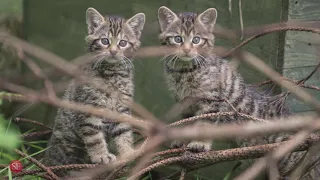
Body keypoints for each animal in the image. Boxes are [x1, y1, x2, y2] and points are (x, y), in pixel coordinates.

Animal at [43, 7, 145, 176]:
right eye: (105, 41)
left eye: (123, 43)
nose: (113, 51)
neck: (112, 74)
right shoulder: (90, 109)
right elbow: (94, 137)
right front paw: (101, 156)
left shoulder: (122, 109)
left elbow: (124, 132)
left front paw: (127, 152)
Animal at [158, 5, 320, 179]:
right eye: (177, 39)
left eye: (196, 40)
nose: (187, 50)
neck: (184, 71)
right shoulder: (185, 103)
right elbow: (188, 122)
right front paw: (182, 140)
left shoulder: (212, 99)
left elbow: (204, 123)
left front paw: (200, 143)